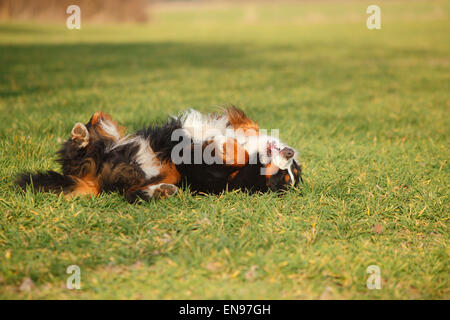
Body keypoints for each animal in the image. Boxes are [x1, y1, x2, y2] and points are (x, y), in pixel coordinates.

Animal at [16, 107, 302, 202]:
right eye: (291, 171)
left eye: (286, 177)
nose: (290, 152)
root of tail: (95, 181)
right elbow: (247, 127)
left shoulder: (203, 169)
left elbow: (234, 155)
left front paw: (229, 147)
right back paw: (93, 125)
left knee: (129, 193)